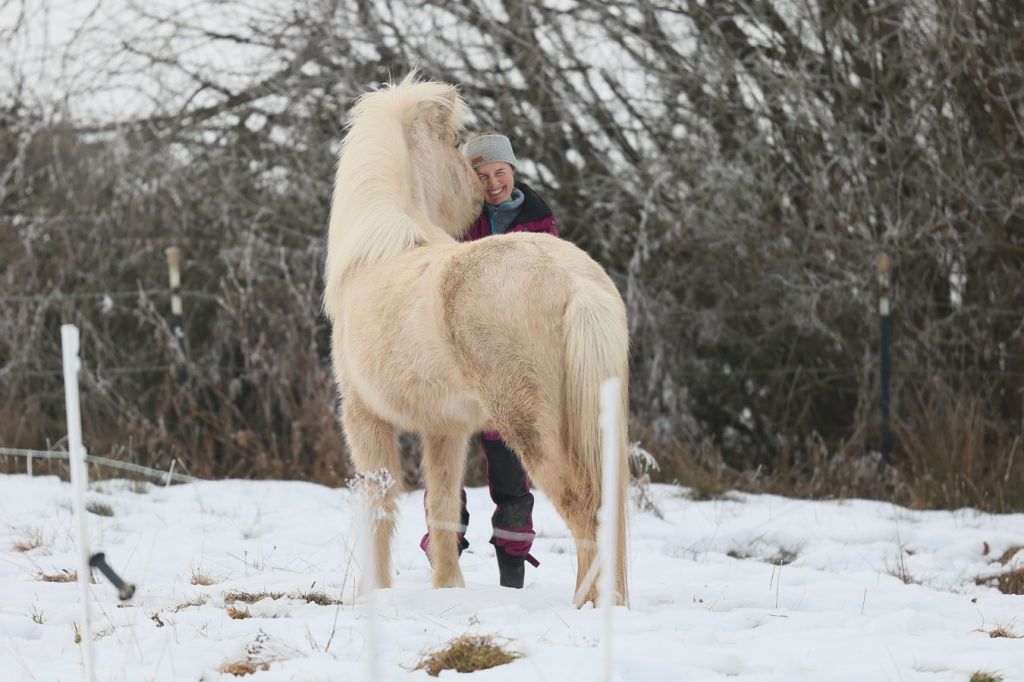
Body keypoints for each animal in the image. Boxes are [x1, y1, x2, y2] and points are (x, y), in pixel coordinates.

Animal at [323, 74, 629, 606]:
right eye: (455, 146)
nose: (477, 192)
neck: (379, 251)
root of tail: (577, 284)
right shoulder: (445, 428)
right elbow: (444, 507)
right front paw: (448, 586)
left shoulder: (364, 417)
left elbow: (380, 506)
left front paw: (373, 591)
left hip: (532, 429)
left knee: (582, 506)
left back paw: (587, 606)